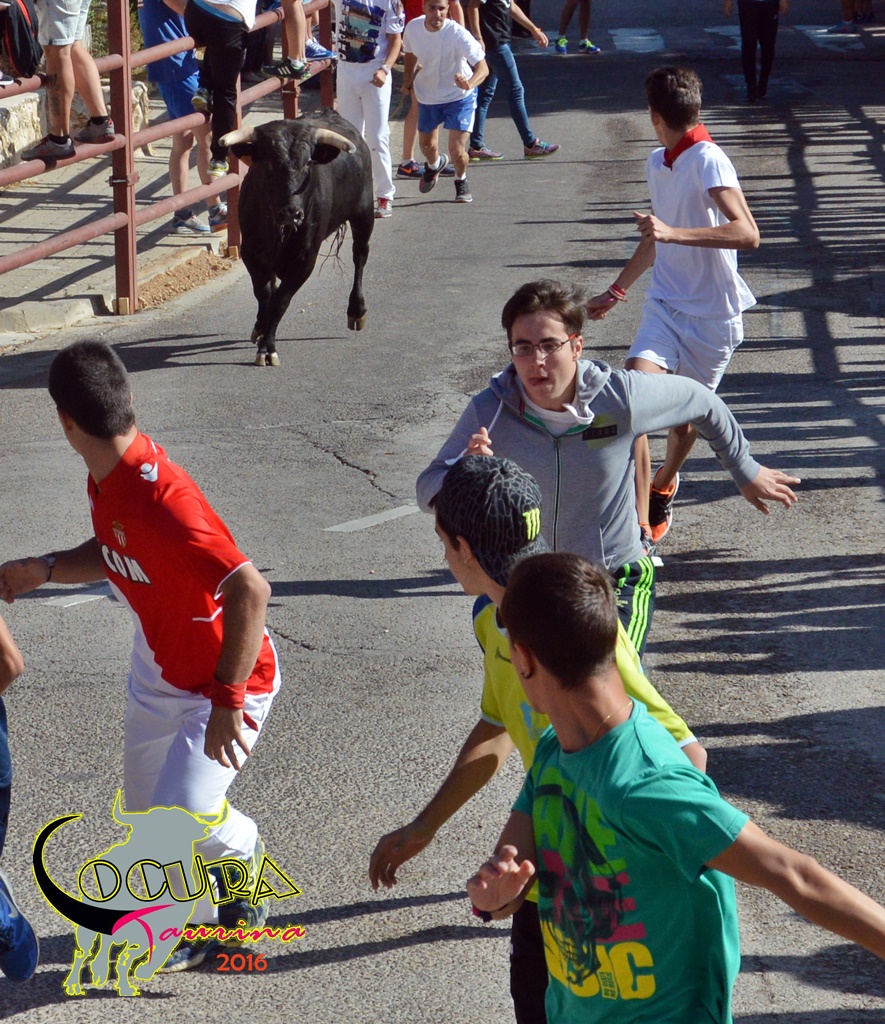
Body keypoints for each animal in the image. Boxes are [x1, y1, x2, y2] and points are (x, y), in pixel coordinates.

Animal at [220, 110, 374, 367]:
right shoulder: (251, 252)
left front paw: (267, 348)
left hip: (364, 214)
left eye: (308, 163)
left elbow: (280, 300)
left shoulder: (304, 260)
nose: (292, 213)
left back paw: (356, 311)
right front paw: (261, 328)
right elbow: (264, 293)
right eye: (268, 164)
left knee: (360, 256)